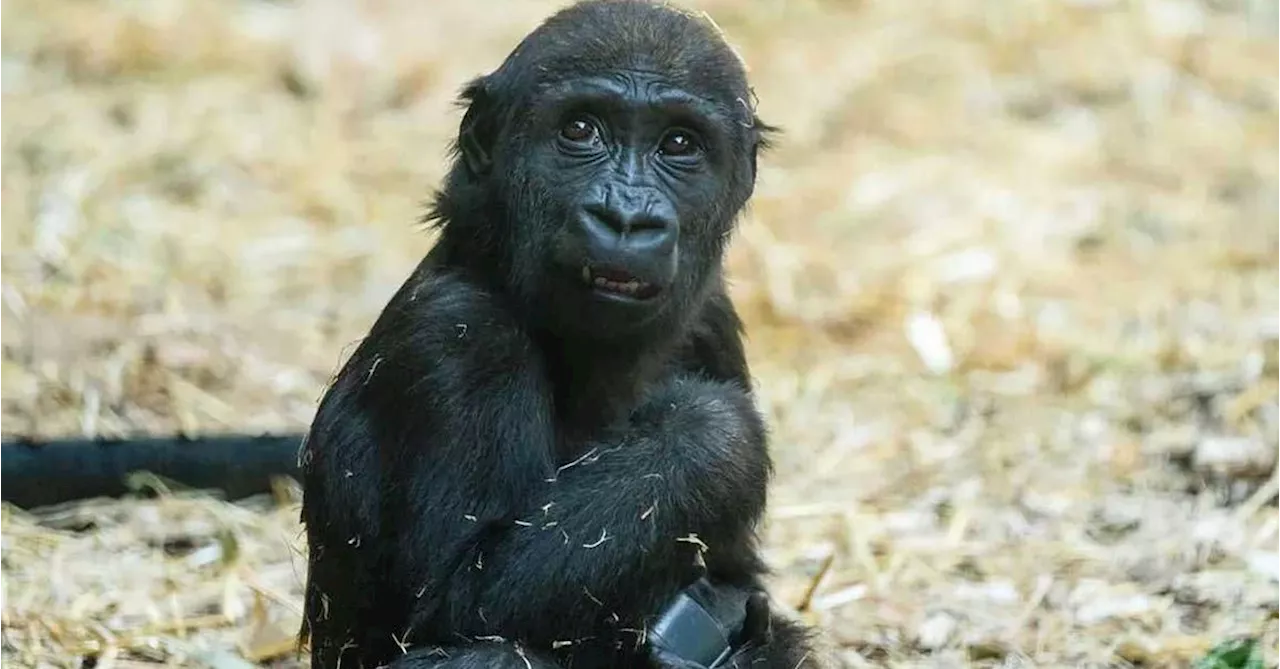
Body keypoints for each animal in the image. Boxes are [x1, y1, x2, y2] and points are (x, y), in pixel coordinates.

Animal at [299, 1, 819, 669]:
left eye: (679, 143)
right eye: (580, 131)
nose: (626, 217)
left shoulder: (712, 321)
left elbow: (743, 587)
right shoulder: (461, 335)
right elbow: (459, 599)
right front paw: (713, 434)